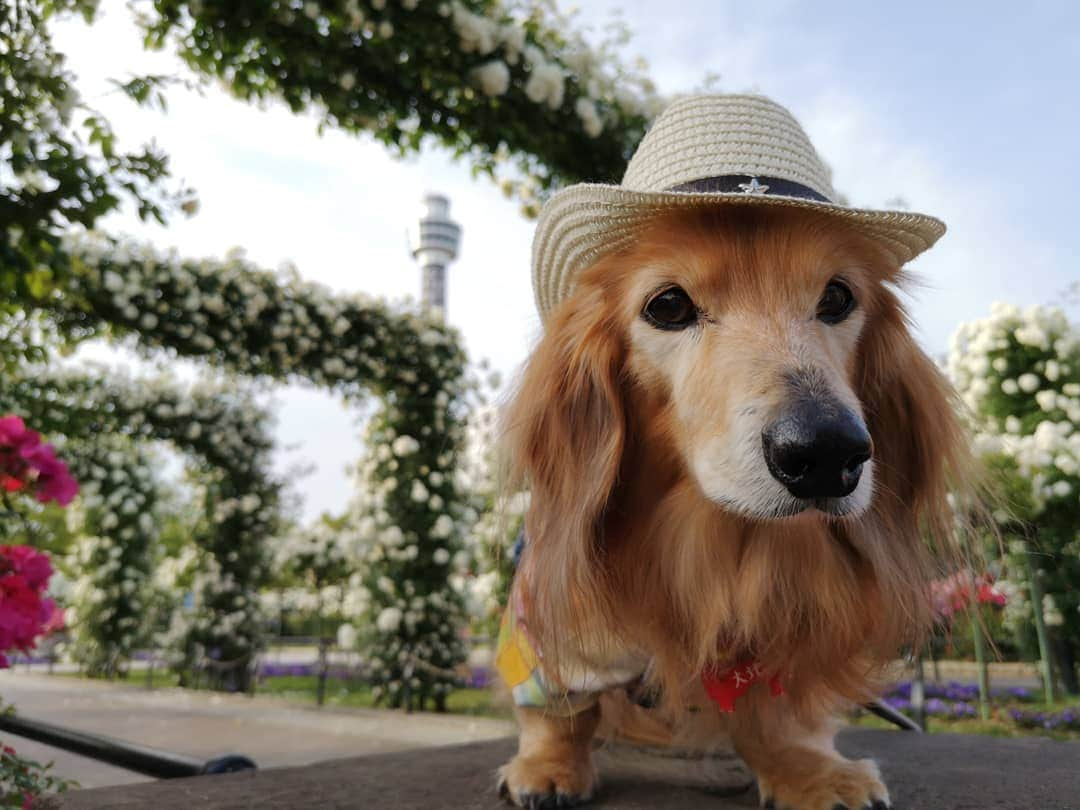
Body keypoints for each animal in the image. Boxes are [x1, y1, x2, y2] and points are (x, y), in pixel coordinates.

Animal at [490, 201, 972, 807]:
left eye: (837, 298)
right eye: (668, 305)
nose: (827, 453)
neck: (712, 537)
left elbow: (779, 717)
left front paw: (809, 771)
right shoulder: (551, 620)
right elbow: (559, 710)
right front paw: (549, 764)